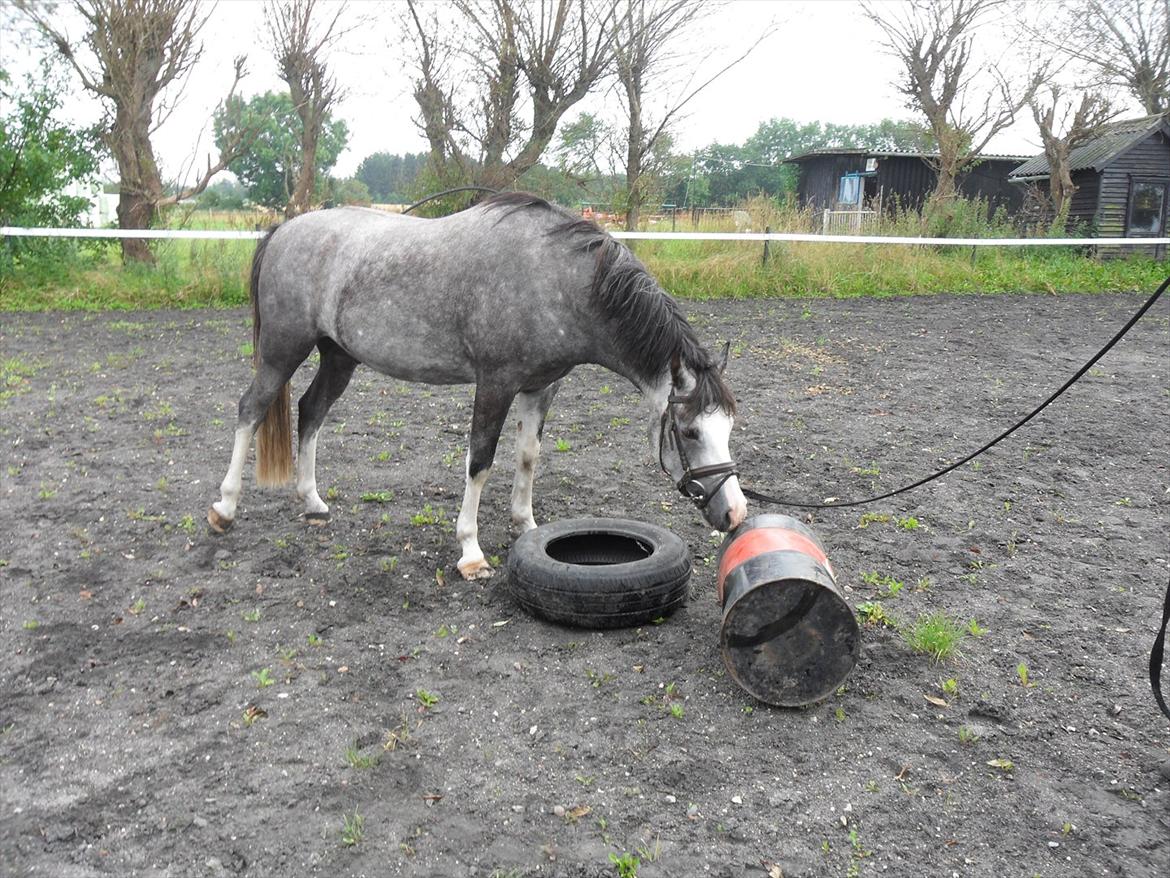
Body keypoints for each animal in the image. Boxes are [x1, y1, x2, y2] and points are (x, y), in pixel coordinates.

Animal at [205, 195, 744, 585]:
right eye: (689, 431)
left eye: (729, 428)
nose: (735, 512)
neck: (555, 279)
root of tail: (284, 230)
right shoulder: (496, 383)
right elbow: (480, 461)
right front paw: (470, 551)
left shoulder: (541, 387)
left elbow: (527, 457)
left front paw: (527, 527)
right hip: (282, 350)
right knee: (251, 409)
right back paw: (224, 509)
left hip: (339, 357)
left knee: (311, 411)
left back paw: (313, 501)